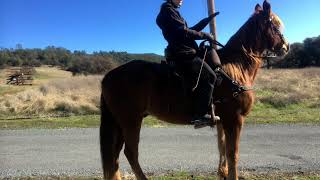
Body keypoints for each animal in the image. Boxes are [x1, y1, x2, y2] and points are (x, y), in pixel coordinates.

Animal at [100, 0, 290, 179]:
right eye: (275, 25)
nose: (286, 47)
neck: (236, 67)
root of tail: (109, 76)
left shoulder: (223, 120)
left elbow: (222, 148)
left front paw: (222, 173)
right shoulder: (235, 119)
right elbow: (232, 154)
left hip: (121, 122)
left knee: (115, 156)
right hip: (130, 121)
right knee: (130, 153)